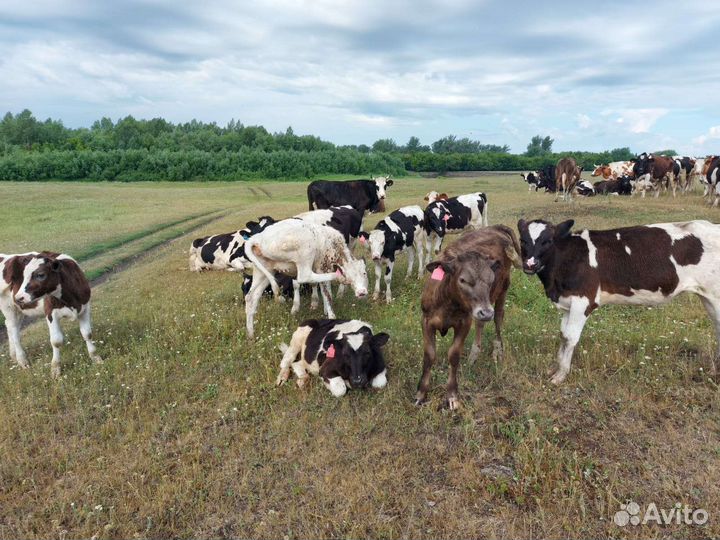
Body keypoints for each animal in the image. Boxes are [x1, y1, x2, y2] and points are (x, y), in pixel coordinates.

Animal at [415, 225, 521, 410]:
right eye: (463, 280)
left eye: (491, 279)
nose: (486, 312)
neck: (447, 302)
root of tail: (495, 227)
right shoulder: (426, 321)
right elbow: (429, 355)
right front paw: (421, 394)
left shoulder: (464, 323)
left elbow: (454, 355)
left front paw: (452, 396)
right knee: (480, 323)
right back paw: (474, 355)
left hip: (503, 289)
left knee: (498, 318)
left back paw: (497, 351)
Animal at [517, 218, 720, 385]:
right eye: (523, 240)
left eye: (547, 241)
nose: (530, 264)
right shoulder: (568, 303)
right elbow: (563, 335)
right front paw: (555, 369)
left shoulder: (583, 301)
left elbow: (570, 337)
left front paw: (560, 376)